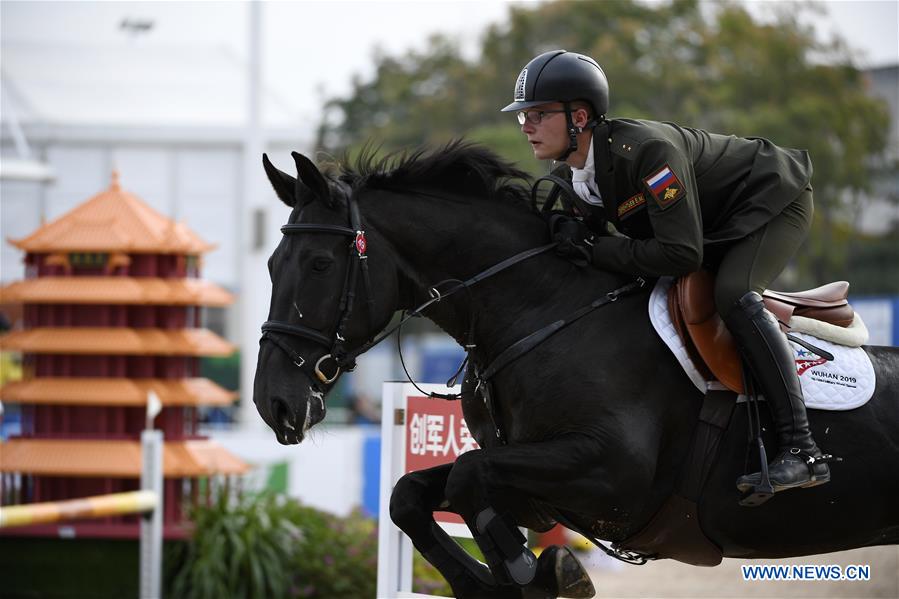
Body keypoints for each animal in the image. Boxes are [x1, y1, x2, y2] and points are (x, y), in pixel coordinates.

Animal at [251, 143, 899, 596]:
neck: (540, 308)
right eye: (271, 264)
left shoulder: (612, 474)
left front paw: (535, 571)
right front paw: (496, 581)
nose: (271, 402)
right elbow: (413, 494)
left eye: (318, 263)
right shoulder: (535, 480)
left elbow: (466, 478)